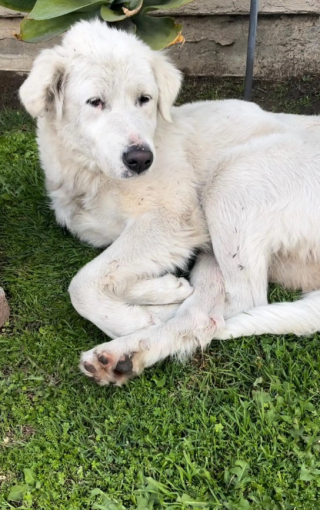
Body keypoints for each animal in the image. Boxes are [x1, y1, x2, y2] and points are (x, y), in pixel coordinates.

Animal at [19, 20, 320, 386]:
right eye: (95, 102)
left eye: (144, 99)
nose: (140, 159)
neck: (92, 175)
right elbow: (111, 272)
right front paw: (162, 288)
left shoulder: (172, 219)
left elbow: (83, 282)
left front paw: (138, 316)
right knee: (207, 309)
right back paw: (130, 351)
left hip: (231, 180)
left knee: (231, 306)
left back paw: (135, 338)